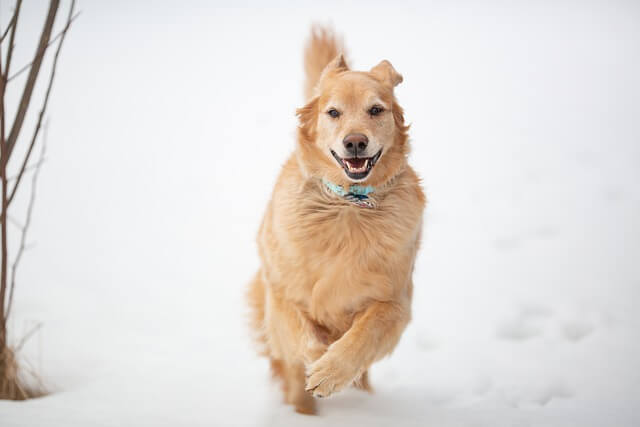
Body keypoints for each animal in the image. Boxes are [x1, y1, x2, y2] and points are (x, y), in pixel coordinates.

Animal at [249, 25, 424, 414]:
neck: (347, 205)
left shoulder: (395, 302)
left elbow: (364, 335)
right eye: (333, 112)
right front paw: (319, 366)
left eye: (376, 109)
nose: (355, 142)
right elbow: (303, 335)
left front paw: (331, 371)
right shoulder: (281, 295)